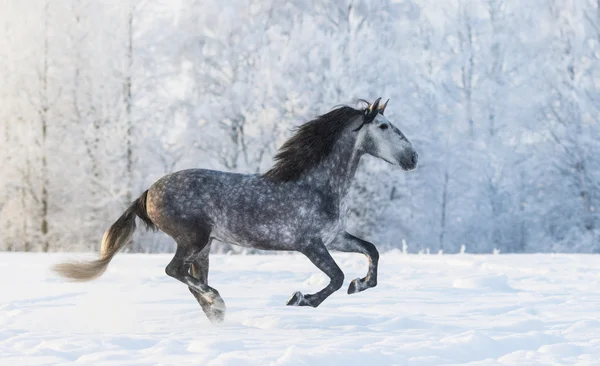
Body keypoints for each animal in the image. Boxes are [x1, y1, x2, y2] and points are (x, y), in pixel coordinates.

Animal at [55, 98, 418, 324]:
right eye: (383, 127)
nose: (413, 158)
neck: (316, 186)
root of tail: (147, 193)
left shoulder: (335, 237)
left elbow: (371, 252)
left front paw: (360, 284)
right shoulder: (309, 244)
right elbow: (336, 277)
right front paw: (300, 299)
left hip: (204, 246)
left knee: (189, 278)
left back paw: (217, 313)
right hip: (193, 238)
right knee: (175, 271)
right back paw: (217, 301)